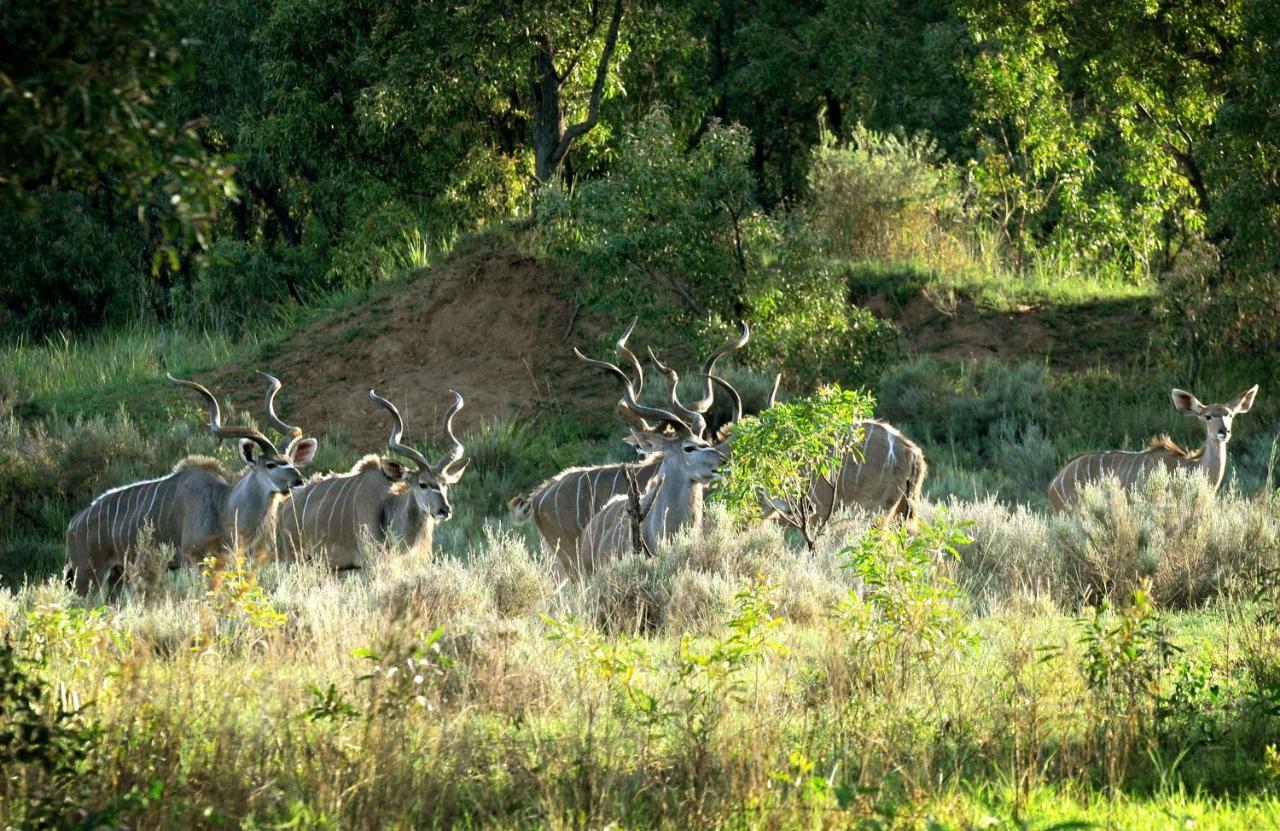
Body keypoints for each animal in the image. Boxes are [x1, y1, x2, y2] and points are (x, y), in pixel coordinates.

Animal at [64, 373, 317, 594]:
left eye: (291, 462)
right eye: (271, 465)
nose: (299, 481)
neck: (223, 506)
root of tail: (73, 525)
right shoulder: (192, 560)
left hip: (117, 576)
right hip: (88, 575)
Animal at [277, 386, 468, 565]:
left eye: (445, 484)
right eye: (422, 484)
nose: (445, 510)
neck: (389, 506)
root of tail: (286, 507)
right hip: (295, 558)